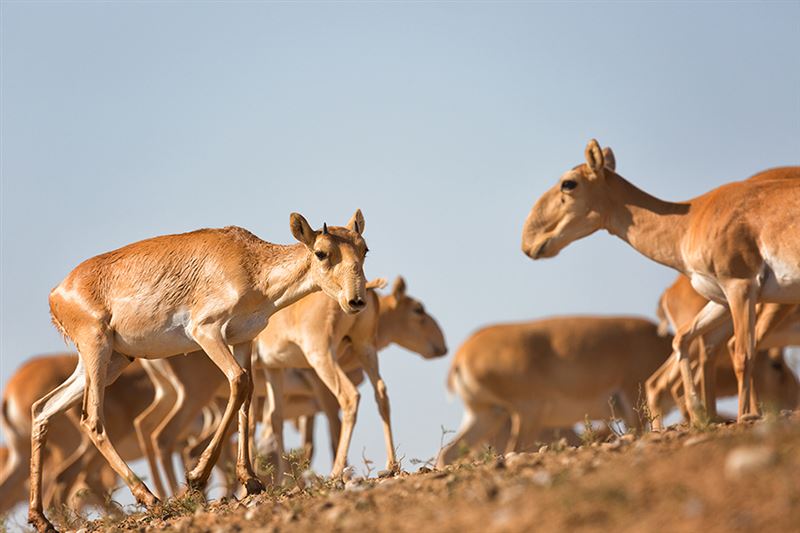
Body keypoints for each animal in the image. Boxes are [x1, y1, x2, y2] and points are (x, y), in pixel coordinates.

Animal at [30, 212, 368, 532]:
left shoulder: (242, 340)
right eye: (322, 252)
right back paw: (150, 498)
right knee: (92, 419)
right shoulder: (207, 332)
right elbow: (238, 382)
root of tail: (56, 294)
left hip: (111, 361)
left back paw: (41, 519)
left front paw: (251, 480)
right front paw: (196, 477)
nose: (357, 301)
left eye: (364, 248)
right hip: (97, 352)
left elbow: (248, 397)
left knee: (43, 408)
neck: (250, 262)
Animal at [520, 142, 796, 424]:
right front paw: (699, 412)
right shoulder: (722, 298)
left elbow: (743, 355)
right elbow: (682, 339)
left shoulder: (740, 287)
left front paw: (743, 416)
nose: (528, 240)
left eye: (568, 183)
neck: (691, 220)